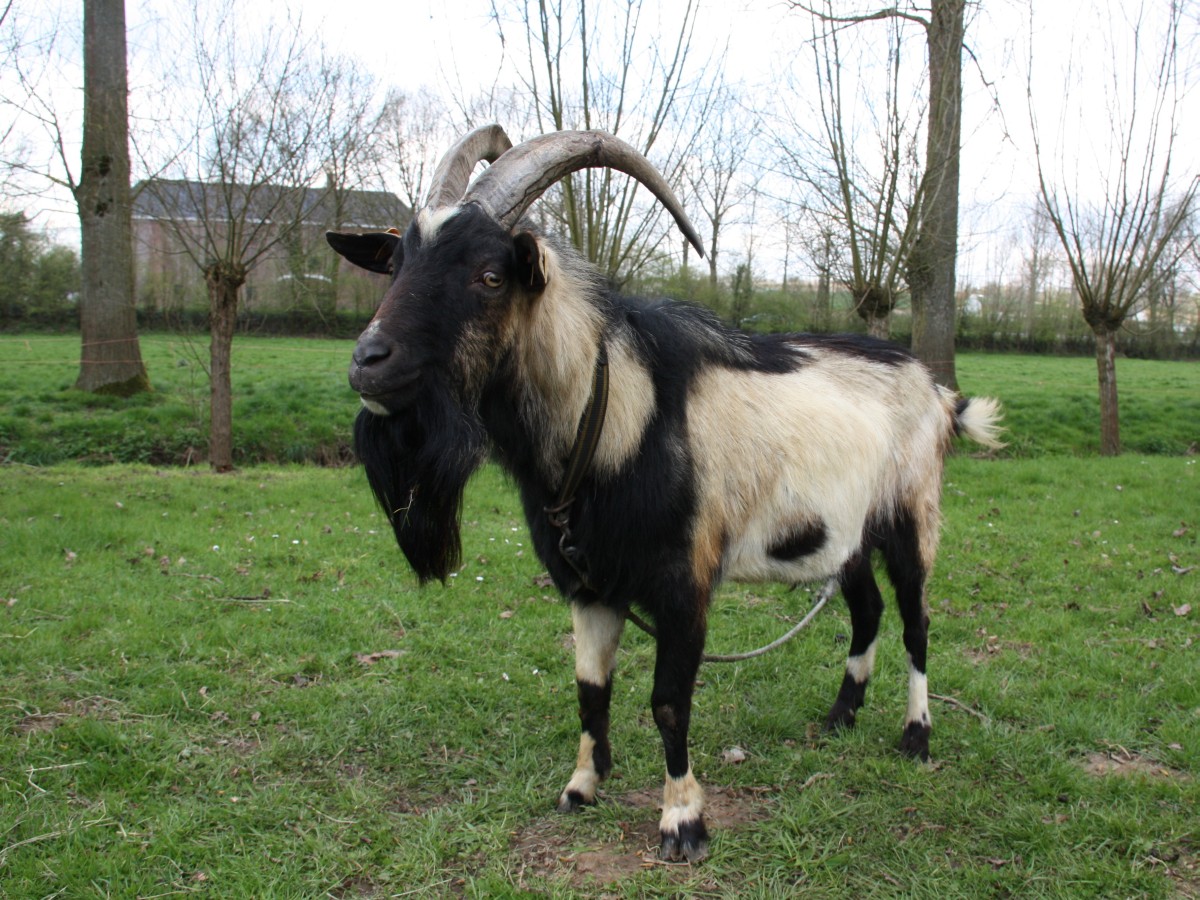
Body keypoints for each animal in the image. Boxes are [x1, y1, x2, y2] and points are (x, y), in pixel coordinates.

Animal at [328, 125, 1004, 862]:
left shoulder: (685, 582)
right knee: (868, 610)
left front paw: (683, 822)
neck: (616, 419)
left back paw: (916, 736)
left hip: (911, 517)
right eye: (396, 265)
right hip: (843, 534)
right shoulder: (589, 585)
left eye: (489, 274)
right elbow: (590, 690)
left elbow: (668, 701)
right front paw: (581, 787)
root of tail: (937, 390)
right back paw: (839, 717)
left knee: (915, 621)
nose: (369, 361)